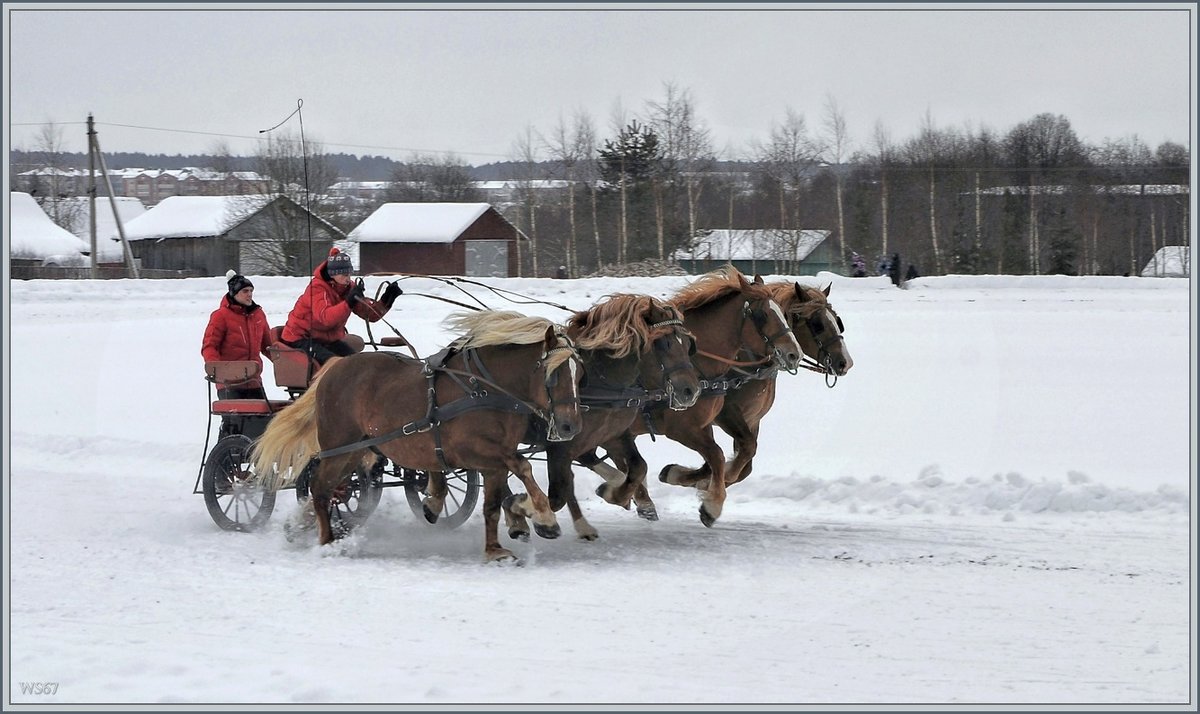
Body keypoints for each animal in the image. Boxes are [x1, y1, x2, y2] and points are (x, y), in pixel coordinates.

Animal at [254, 309, 585, 564]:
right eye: (554, 373)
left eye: (579, 372)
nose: (570, 426)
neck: (486, 388)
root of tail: (332, 370)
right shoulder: (472, 451)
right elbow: (523, 467)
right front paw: (544, 518)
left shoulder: (494, 460)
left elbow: (492, 504)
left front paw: (495, 548)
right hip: (340, 446)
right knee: (321, 487)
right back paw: (327, 542)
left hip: (356, 449)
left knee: (329, 488)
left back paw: (302, 525)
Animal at [585, 265, 801, 528]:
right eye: (763, 315)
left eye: (783, 313)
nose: (794, 354)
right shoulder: (684, 428)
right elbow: (720, 455)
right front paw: (712, 504)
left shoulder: (707, 425)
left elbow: (723, 456)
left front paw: (683, 476)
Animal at [657, 282, 854, 494]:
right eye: (818, 323)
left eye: (836, 320)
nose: (845, 362)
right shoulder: (726, 414)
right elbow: (743, 451)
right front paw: (701, 479)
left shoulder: (751, 420)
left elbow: (745, 463)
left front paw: (700, 479)